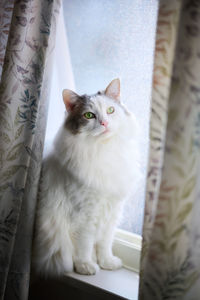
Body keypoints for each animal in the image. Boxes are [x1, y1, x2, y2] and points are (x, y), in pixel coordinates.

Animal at [32, 78, 141, 276]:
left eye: (110, 110)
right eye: (89, 115)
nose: (104, 123)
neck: (104, 150)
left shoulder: (112, 211)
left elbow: (105, 243)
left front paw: (107, 262)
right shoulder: (85, 215)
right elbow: (85, 245)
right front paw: (86, 266)